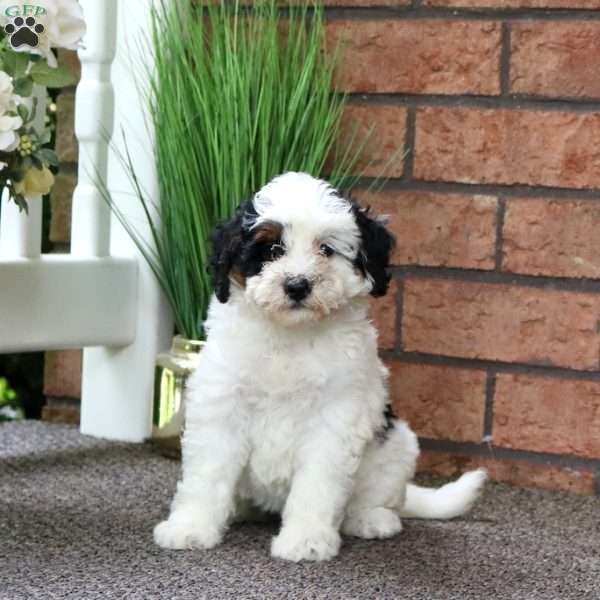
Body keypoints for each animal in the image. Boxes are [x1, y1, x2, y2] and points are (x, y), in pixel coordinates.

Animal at [152, 170, 486, 564]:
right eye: (272, 250)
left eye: (326, 249)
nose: (297, 285)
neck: (291, 335)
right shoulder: (221, 405)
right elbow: (207, 474)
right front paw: (190, 527)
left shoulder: (335, 420)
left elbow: (317, 485)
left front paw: (305, 541)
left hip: (396, 444)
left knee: (382, 495)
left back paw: (372, 519)